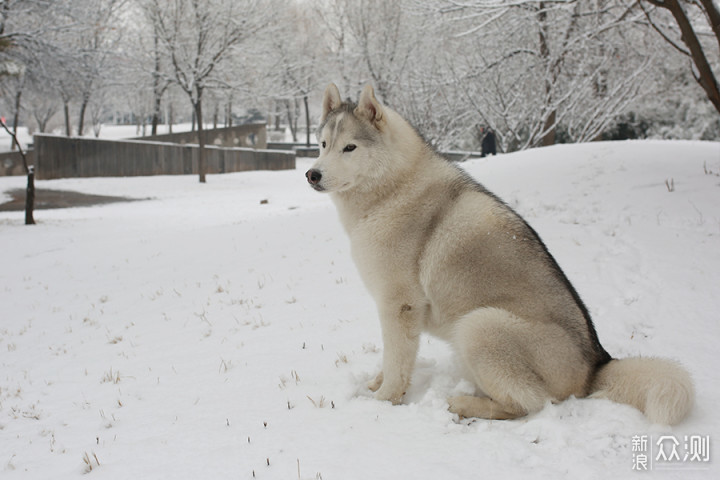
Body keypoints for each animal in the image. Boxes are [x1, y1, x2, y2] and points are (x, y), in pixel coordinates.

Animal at [304, 83, 692, 424]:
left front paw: (384, 400)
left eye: (350, 147)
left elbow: (397, 363)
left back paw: (463, 404)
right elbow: (390, 360)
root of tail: (596, 365)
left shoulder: (399, 306)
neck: (392, 188)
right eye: (322, 144)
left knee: (530, 403)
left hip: (479, 326)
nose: (312, 174)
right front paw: (376, 383)